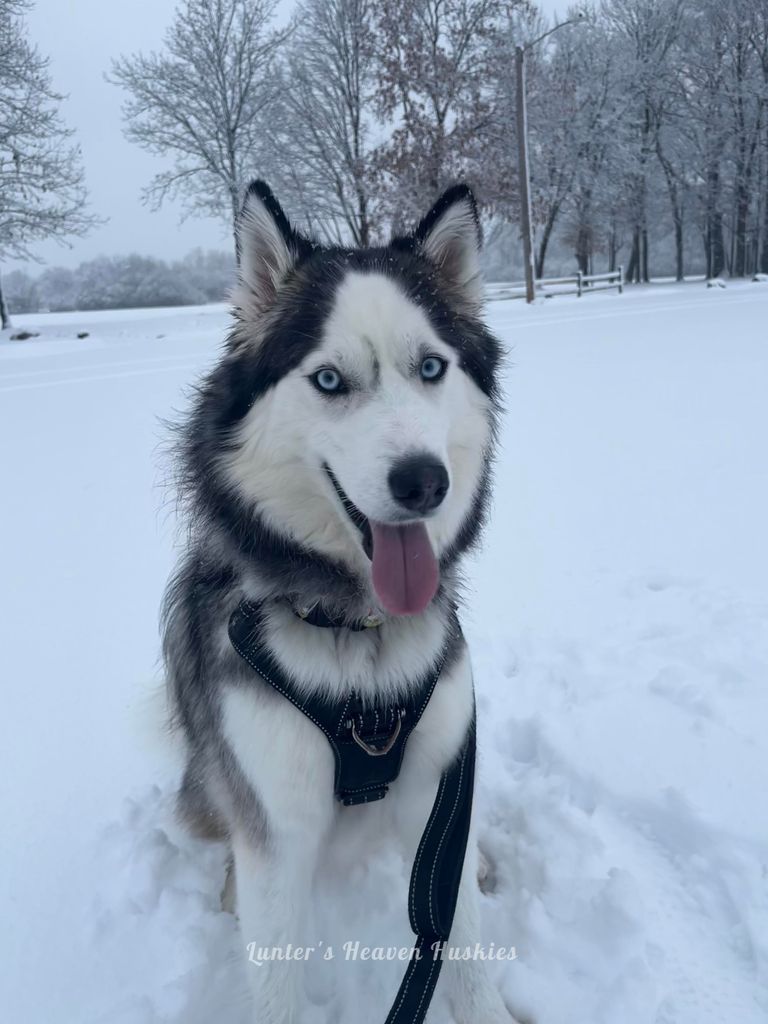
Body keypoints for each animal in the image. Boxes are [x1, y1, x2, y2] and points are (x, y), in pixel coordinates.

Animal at [162, 184, 512, 1024]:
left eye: (431, 367)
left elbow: (462, 941)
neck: (359, 628)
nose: (423, 482)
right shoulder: (276, 820)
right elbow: (278, 971)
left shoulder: (438, 785)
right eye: (328, 380)